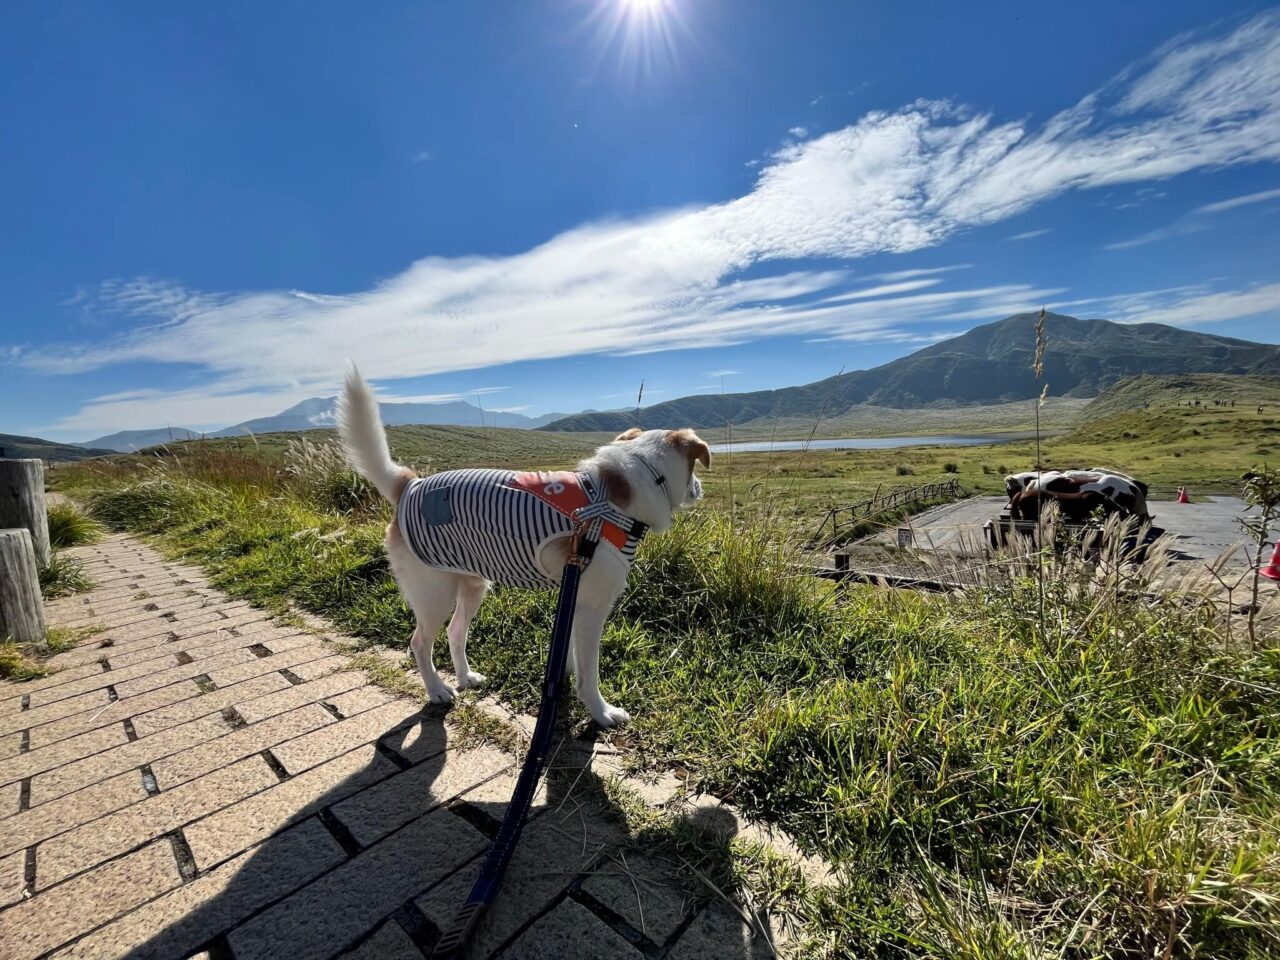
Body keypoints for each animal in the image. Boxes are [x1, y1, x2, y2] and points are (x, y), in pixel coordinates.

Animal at [335, 371, 711, 727]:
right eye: (695, 465)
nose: (700, 487)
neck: (613, 494)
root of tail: (409, 486)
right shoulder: (592, 608)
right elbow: (590, 673)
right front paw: (601, 712)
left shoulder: (573, 596)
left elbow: (569, 650)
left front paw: (562, 678)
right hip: (434, 595)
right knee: (419, 643)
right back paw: (437, 690)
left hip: (472, 585)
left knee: (455, 632)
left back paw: (465, 677)